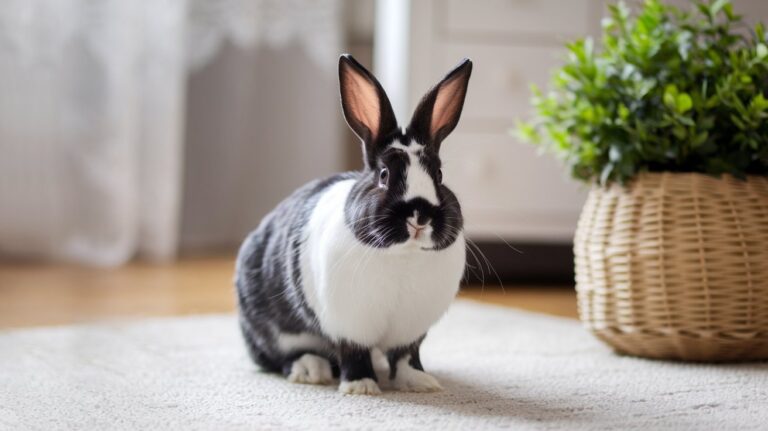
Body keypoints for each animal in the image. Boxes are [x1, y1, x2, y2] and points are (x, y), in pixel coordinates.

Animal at [236, 54, 472, 395]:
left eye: (439, 175)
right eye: (384, 175)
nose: (419, 216)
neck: (404, 256)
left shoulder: (410, 332)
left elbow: (406, 357)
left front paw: (420, 382)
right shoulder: (348, 324)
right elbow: (353, 353)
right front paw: (361, 386)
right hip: (273, 333)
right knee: (280, 358)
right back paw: (312, 370)